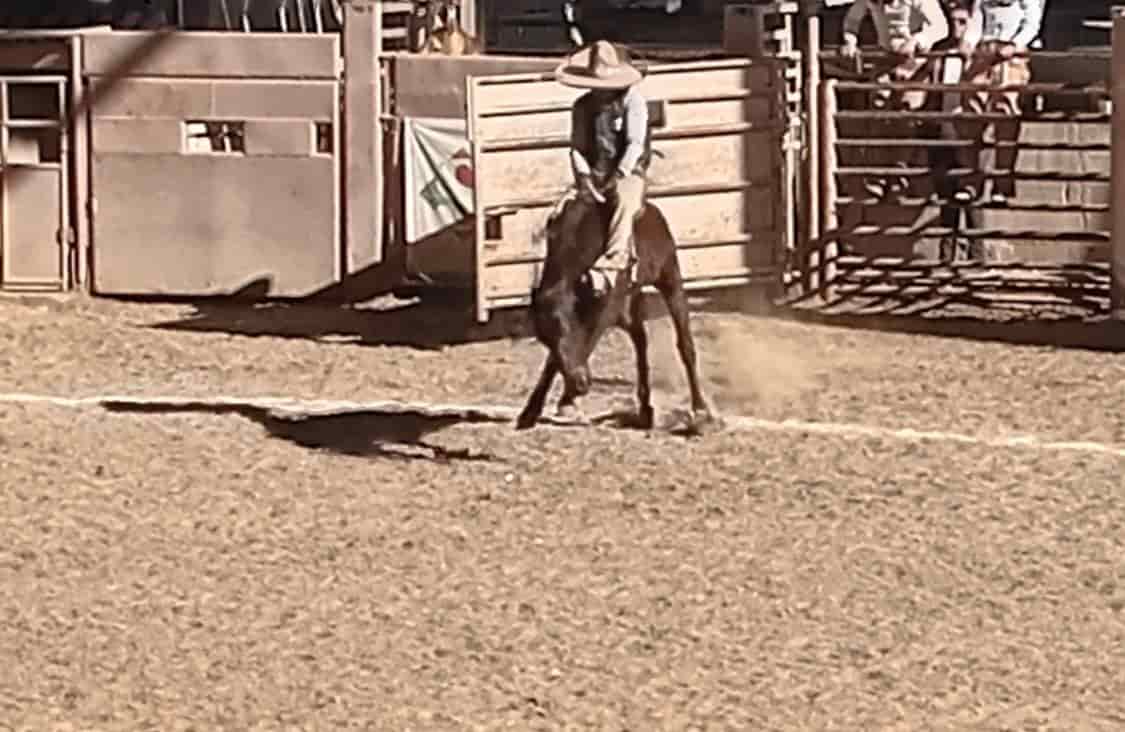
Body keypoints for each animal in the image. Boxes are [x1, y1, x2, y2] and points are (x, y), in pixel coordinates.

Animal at [515, 193, 711, 429]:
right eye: (544, 339)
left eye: (567, 325)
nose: (580, 383)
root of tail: (652, 211)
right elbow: (555, 359)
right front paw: (531, 411)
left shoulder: (604, 309)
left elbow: (583, 344)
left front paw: (566, 401)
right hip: (630, 306)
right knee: (640, 339)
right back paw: (645, 409)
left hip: (670, 278)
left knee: (685, 344)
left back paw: (700, 410)